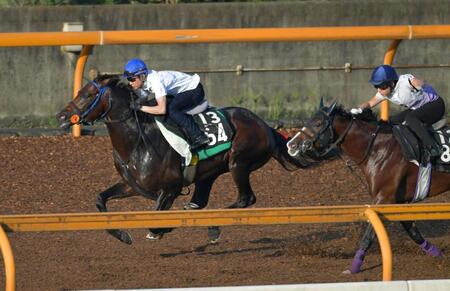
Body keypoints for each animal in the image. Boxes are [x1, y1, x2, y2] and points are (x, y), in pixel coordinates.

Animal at [56, 75, 308, 244]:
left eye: (88, 94)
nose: (61, 116)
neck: (138, 140)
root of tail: (265, 126)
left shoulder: (169, 189)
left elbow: (155, 220)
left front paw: (159, 231)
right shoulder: (131, 185)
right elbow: (100, 199)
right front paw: (123, 235)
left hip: (239, 163)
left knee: (246, 198)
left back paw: (214, 227)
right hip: (209, 174)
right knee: (199, 203)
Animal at [286, 101, 448, 276]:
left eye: (318, 123)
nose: (291, 144)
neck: (377, 148)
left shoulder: (384, 198)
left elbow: (369, 234)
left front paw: (354, 267)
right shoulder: (398, 201)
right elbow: (412, 231)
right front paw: (437, 254)